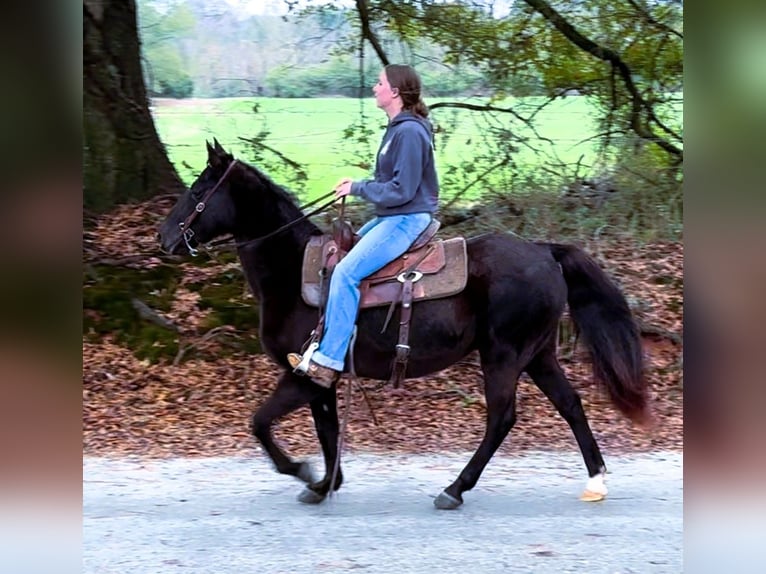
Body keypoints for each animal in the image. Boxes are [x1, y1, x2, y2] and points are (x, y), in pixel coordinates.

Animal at [159, 142, 652, 510]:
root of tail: (545, 251)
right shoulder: (321, 378)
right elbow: (327, 431)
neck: (293, 271)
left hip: (504, 355)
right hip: (538, 354)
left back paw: (454, 489)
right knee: (571, 405)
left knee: (502, 417)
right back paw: (596, 481)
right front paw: (326, 484)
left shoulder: (301, 374)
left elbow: (261, 423)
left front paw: (302, 471)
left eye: (200, 188)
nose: (163, 238)